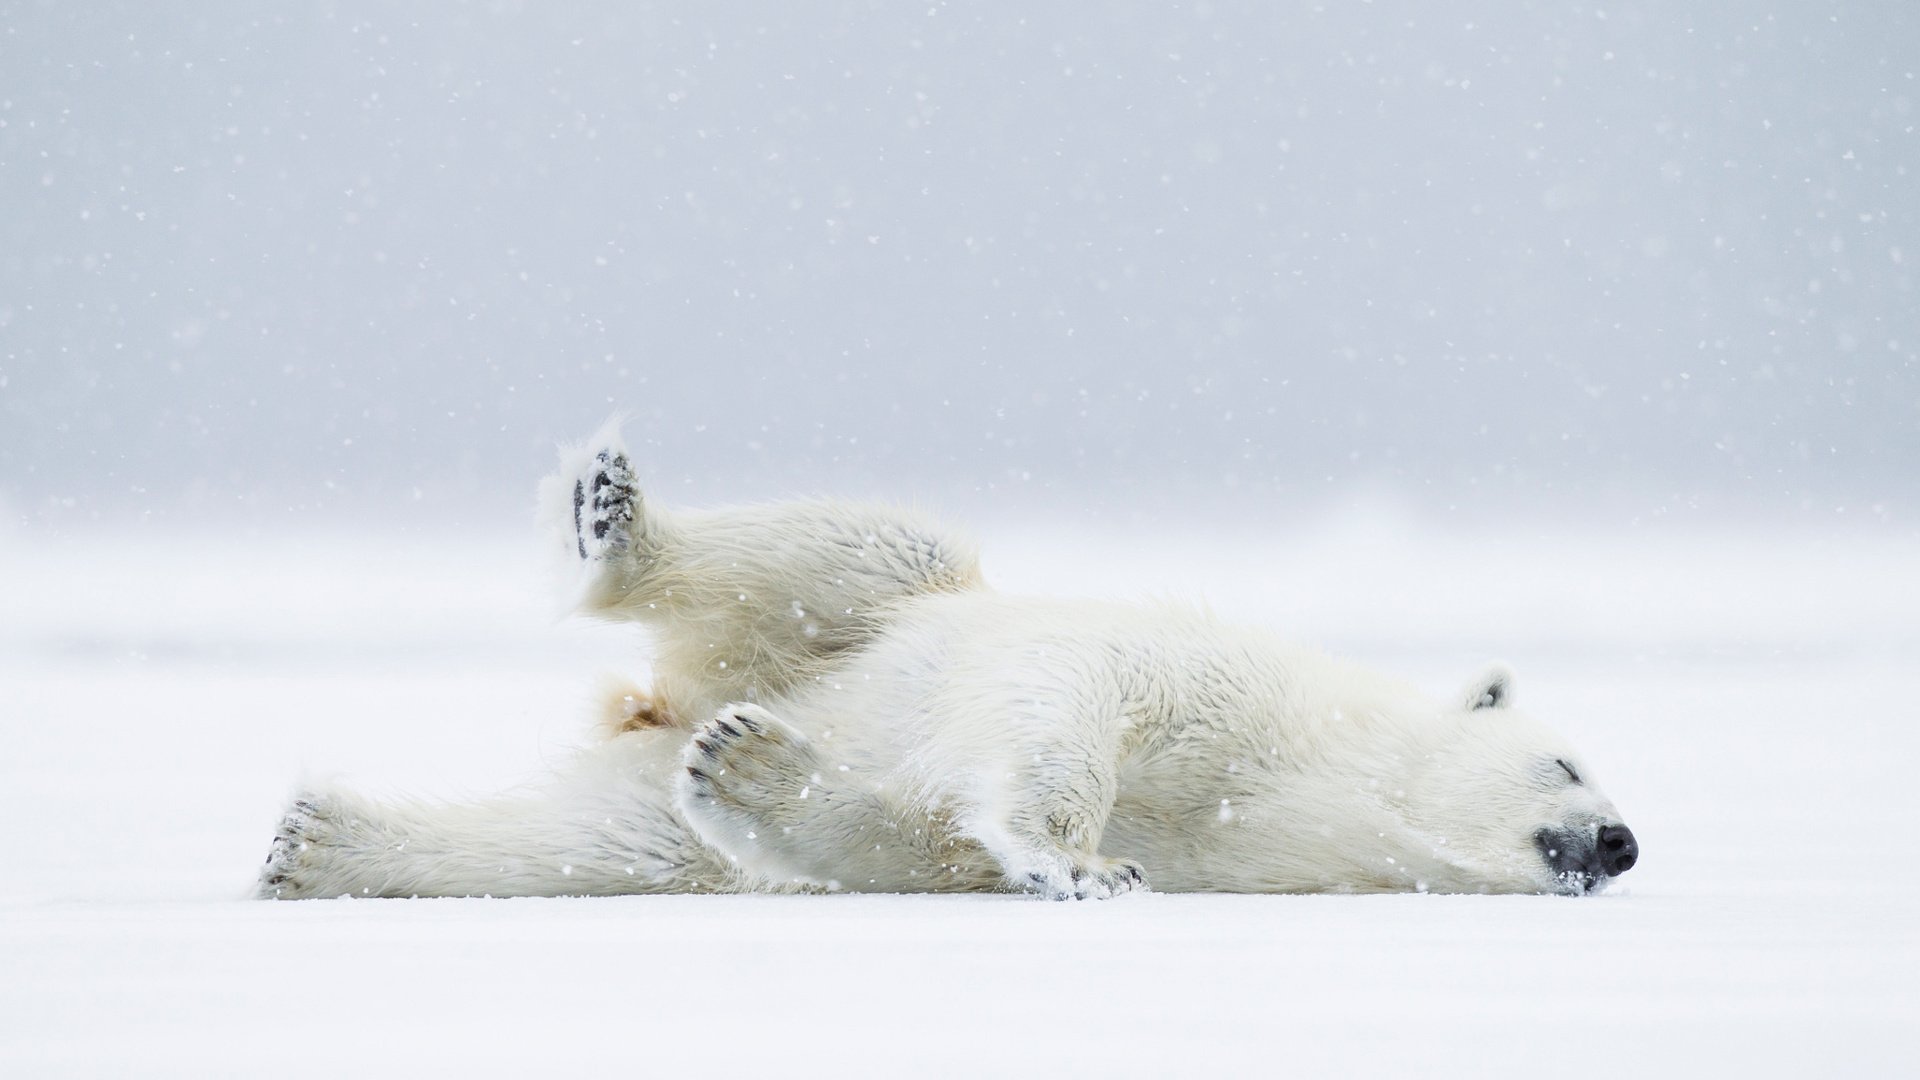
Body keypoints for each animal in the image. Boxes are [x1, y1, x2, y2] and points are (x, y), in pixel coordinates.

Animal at [255, 424, 1635, 895]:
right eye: (1570, 763)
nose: (1620, 844)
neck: (1322, 774)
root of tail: (657, 701)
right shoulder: (1210, 688)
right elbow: (1069, 707)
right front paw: (1086, 864)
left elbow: (913, 844)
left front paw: (760, 784)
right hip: (871, 613)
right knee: (859, 548)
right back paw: (613, 521)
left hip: (669, 762)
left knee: (603, 839)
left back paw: (321, 845)